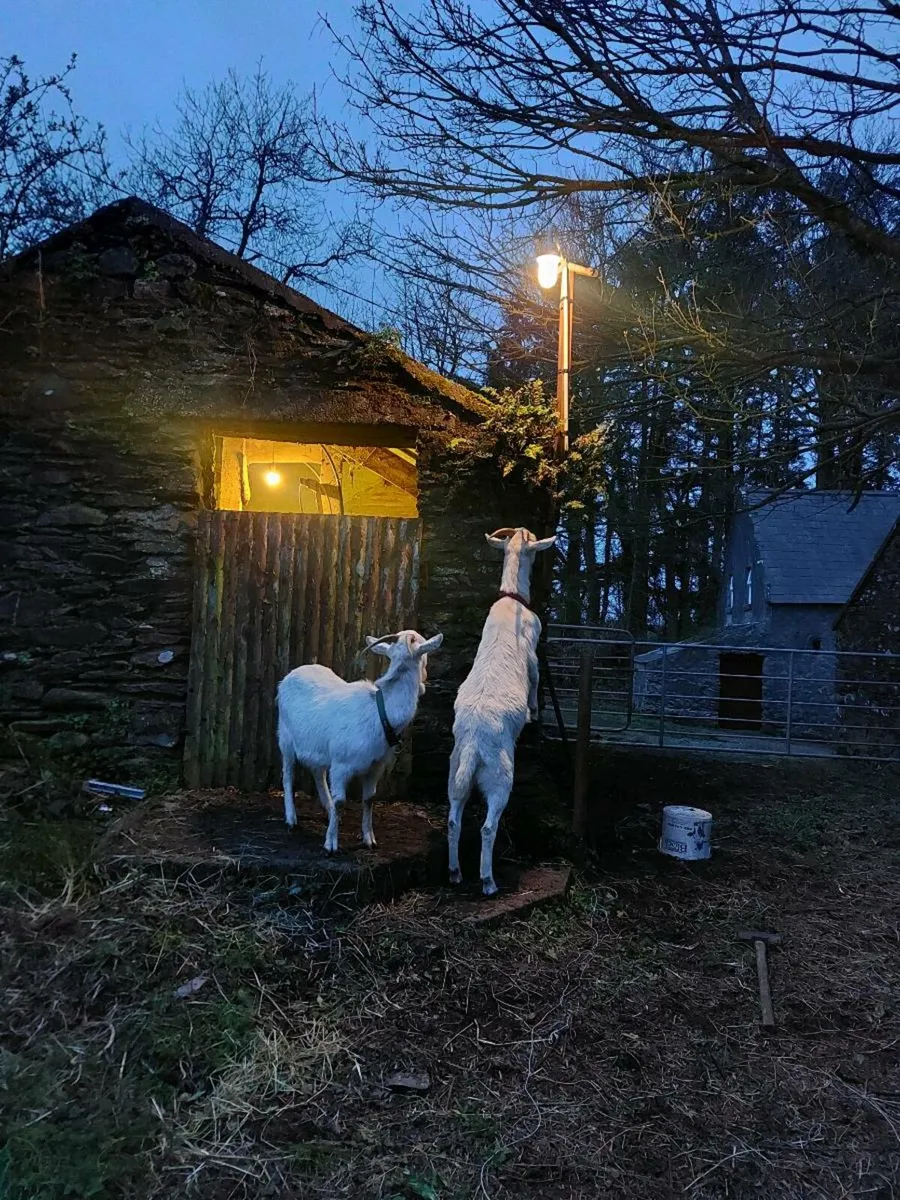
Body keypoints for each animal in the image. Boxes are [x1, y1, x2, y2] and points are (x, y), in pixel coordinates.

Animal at [277, 629, 443, 853]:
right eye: (425, 655)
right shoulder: (340, 765)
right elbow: (341, 801)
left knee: (318, 773)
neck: (380, 711)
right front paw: (331, 844)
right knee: (288, 775)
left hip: (318, 747)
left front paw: (369, 839)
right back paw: (291, 818)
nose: (426, 677)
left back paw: (329, 811)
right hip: (285, 738)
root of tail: (290, 676)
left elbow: (369, 799)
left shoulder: (375, 766)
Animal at [447, 527, 556, 895]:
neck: (512, 599)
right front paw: (534, 711)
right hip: (499, 778)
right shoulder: (534, 653)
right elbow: (535, 677)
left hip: (454, 773)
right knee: (487, 826)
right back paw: (488, 880)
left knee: (453, 820)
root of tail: (472, 745)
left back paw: (455, 872)